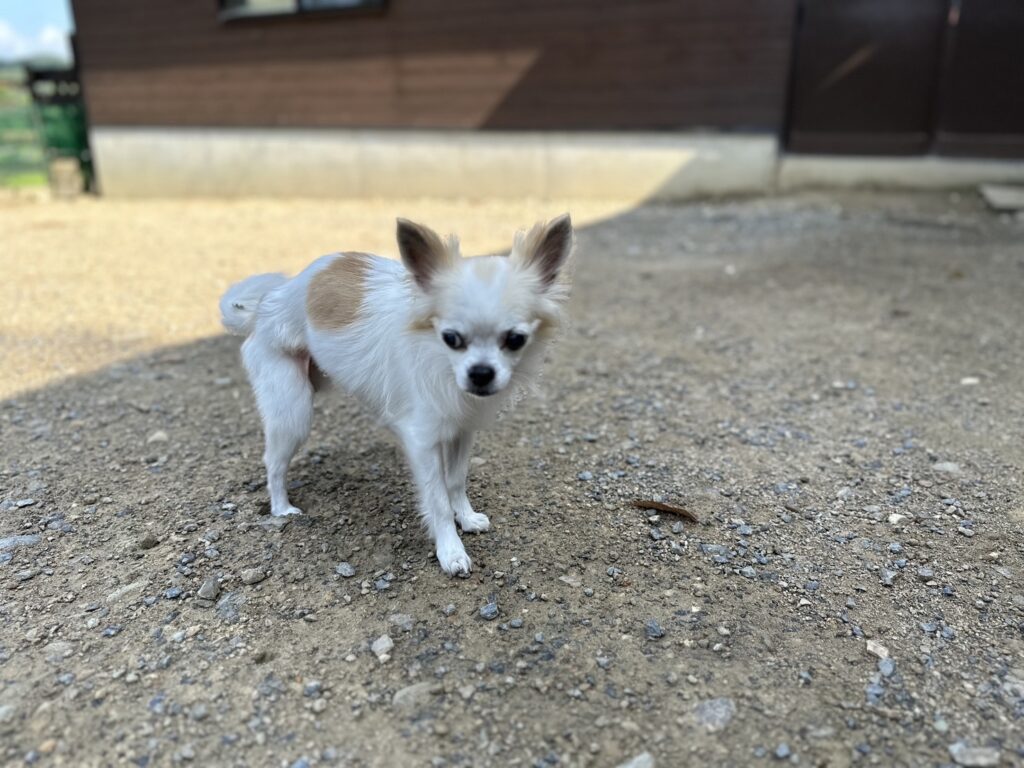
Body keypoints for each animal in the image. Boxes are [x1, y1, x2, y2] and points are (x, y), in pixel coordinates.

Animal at [219, 215, 574, 575]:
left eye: (516, 340)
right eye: (451, 338)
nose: (481, 373)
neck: (440, 360)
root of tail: (266, 304)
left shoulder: (462, 429)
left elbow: (455, 480)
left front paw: (466, 517)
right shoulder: (422, 441)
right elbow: (437, 499)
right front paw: (451, 551)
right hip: (294, 412)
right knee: (274, 463)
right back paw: (281, 508)